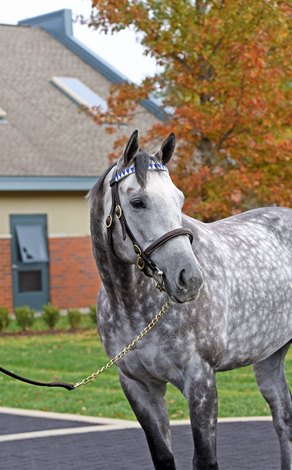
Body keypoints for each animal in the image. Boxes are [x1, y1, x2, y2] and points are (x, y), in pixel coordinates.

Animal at [89, 131, 292, 470]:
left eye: (180, 199)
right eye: (137, 201)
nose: (190, 278)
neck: (133, 307)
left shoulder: (200, 379)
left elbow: (205, 459)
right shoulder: (138, 385)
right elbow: (163, 456)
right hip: (269, 358)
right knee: (284, 421)